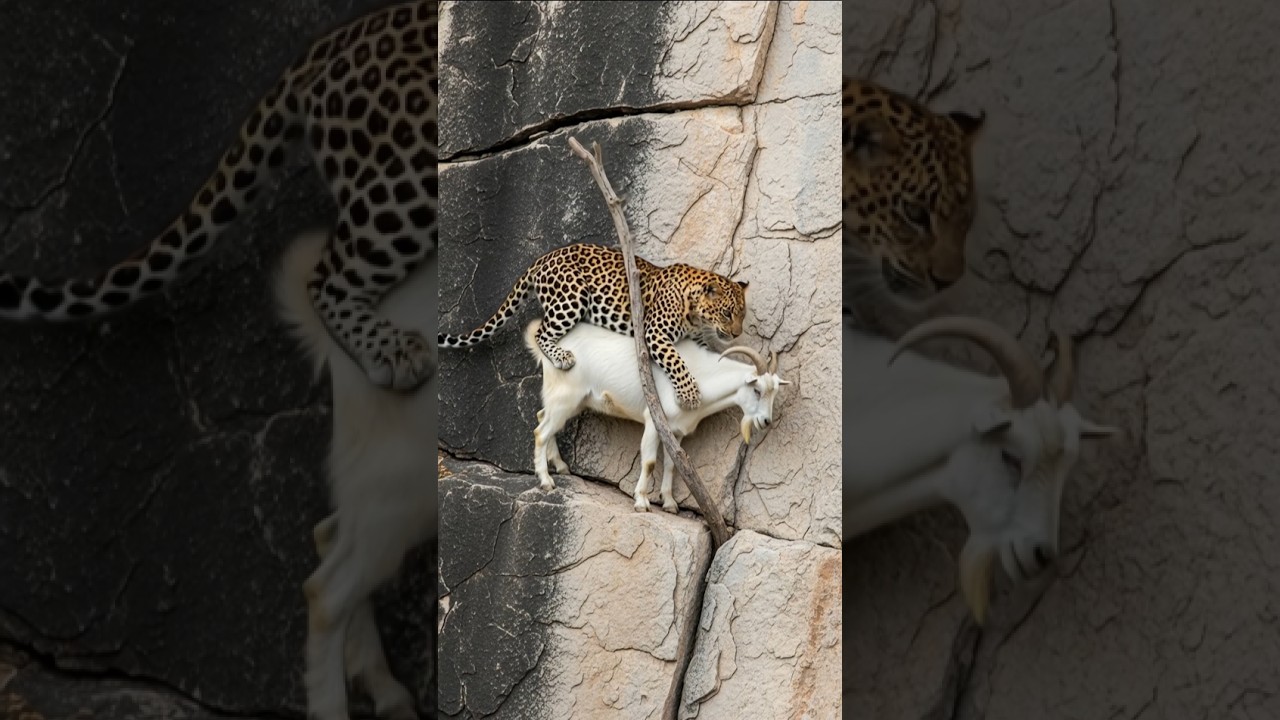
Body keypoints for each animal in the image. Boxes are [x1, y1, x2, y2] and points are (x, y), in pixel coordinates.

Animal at [438, 243, 748, 410]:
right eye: (727, 313)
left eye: (742, 316)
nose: (737, 334)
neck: (695, 312)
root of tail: (542, 259)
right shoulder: (654, 332)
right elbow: (677, 362)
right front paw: (690, 395)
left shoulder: (697, 338)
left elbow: (707, 353)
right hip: (573, 297)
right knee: (541, 332)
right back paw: (563, 357)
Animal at [524, 319, 790, 512]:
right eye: (757, 390)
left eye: (775, 392)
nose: (766, 421)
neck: (700, 376)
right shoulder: (653, 421)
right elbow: (650, 462)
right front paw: (642, 501)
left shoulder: (677, 431)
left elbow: (673, 464)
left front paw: (670, 503)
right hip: (566, 397)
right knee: (541, 431)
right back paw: (546, 481)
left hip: (571, 402)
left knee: (541, 417)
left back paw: (560, 466)